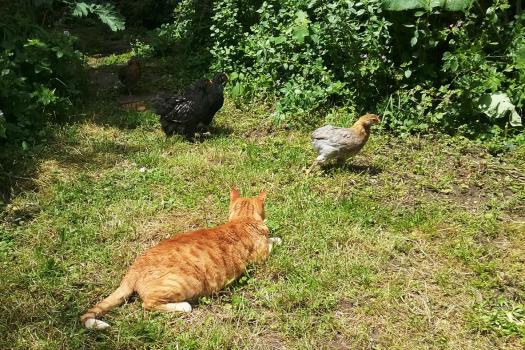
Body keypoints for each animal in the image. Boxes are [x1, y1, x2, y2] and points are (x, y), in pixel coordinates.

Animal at [80, 187, 280, 330]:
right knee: (148, 304)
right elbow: (271, 243)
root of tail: (133, 270)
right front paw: (277, 239)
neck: (242, 220)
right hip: (187, 283)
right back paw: (184, 306)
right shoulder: (261, 257)